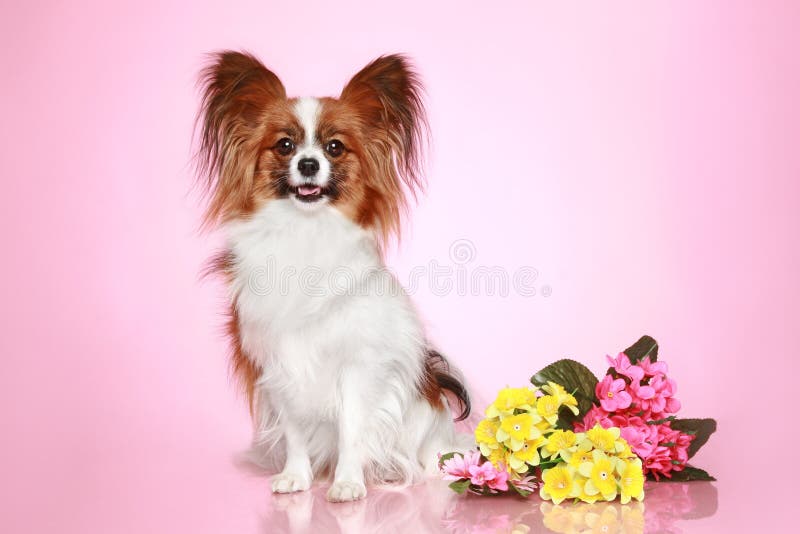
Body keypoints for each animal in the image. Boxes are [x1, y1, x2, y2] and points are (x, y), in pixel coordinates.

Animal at [195, 50, 468, 502]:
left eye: (335, 148)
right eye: (285, 145)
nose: (308, 164)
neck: (305, 231)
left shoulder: (358, 366)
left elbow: (352, 429)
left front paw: (347, 483)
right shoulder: (280, 365)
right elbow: (294, 432)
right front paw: (296, 477)